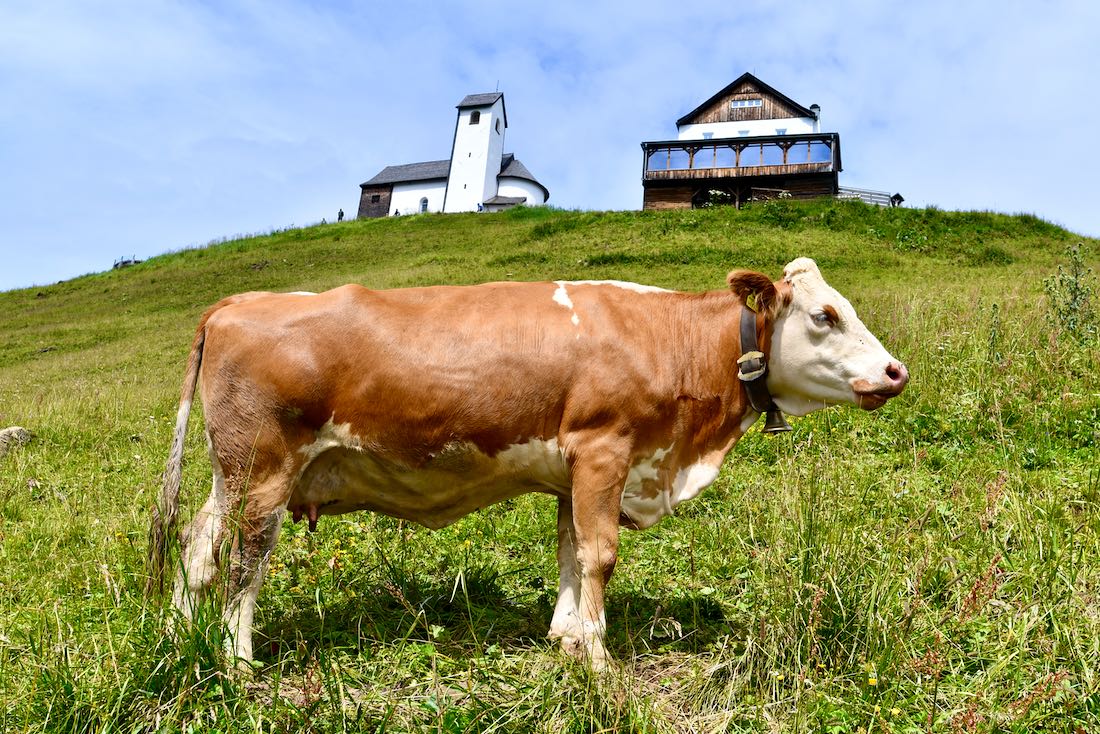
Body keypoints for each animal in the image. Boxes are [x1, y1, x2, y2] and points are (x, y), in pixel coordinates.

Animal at [147, 257, 908, 669]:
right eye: (825, 316)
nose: (896, 372)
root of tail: (238, 302)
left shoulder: (573, 469)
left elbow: (570, 551)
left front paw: (565, 637)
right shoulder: (604, 448)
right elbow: (600, 555)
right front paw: (598, 657)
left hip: (231, 470)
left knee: (198, 544)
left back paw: (180, 637)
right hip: (265, 468)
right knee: (246, 558)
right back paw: (236, 660)